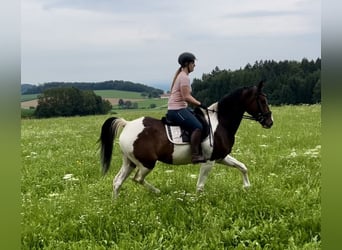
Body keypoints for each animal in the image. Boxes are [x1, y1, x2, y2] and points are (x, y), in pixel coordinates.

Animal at [98, 80, 272, 197]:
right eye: (262, 101)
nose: (270, 122)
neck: (220, 122)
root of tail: (127, 124)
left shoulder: (220, 157)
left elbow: (242, 167)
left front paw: (247, 187)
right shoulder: (209, 161)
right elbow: (200, 187)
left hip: (130, 162)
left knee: (117, 182)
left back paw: (116, 205)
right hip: (146, 163)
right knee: (138, 179)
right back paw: (158, 192)